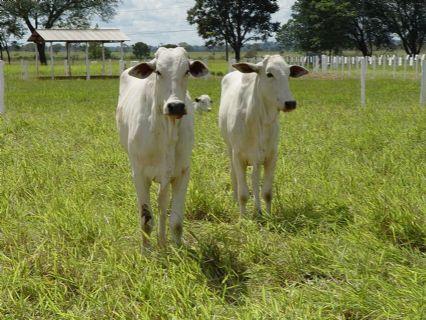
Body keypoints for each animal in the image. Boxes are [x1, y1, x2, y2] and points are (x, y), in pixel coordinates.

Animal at [115, 47, 209, 248]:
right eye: (158, 72)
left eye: (186, 71)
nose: (176, 106)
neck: (167, 132)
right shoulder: (139, 175)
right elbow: (146, 219)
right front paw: (146, 251)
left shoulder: (182, 173)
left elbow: (176, 220)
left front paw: (178, 248)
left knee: (162, 204)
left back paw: (163, 241)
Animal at [220, 55, 306, 218]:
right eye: (269, 74)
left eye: (288, 75)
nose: (290, 103)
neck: (258, 119)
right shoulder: (238, 156)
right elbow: (243, 194)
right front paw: (242, 217)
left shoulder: (271, 156)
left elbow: (266, 192)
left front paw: (267, 215)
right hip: (229, 148)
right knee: (234, 176)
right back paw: (235, 201)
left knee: (254, 179)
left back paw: (258, 209)